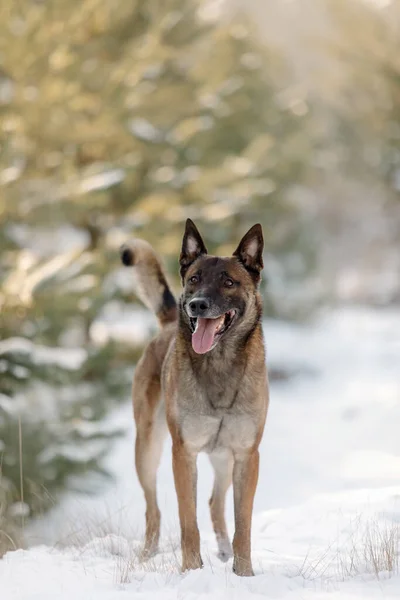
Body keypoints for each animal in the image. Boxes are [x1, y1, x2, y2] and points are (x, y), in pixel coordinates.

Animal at [119, 219, 268, 576]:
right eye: (194, 279)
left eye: (228, 282)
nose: (196, 304)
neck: (220, 363)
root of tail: (168, 322)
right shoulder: (183, 454)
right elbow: (188, 521)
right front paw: (191, 571)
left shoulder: (246, 456)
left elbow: (243, 523)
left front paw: (244, 573)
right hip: (147, 449)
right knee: (153, 510)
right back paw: (147, 555)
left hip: (224, 458)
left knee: (215, 503)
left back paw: (225, 550)